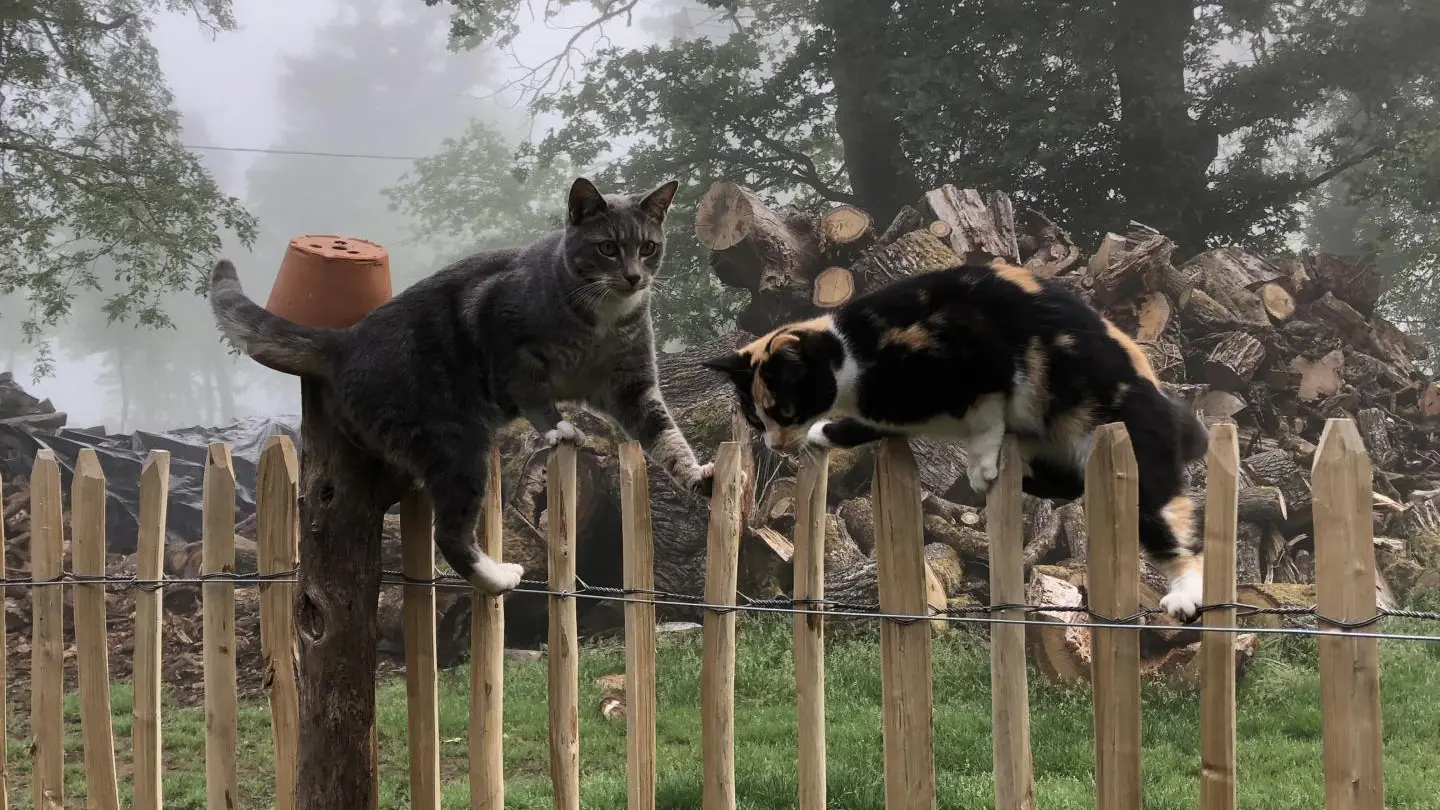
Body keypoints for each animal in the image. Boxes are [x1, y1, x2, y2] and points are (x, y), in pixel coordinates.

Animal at [207, 176, 714, 593]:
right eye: (608, 247)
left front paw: (696, 475)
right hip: (457, 441)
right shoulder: (501, 328)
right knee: (448, 533)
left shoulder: (631, 383)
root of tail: (346, 340)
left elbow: (663, 431)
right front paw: (558, 426)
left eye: (647, 247)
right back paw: (499, 576)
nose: (633, 276)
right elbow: (532, 390)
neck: (603, 318)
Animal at [702, 257, 1209, 616]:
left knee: (1176, 532)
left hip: (1133, 450)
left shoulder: (979, 358)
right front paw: (826, 432)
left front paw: (980, 464)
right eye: (755, 419)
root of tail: (1168, 401)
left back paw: (1184, 595)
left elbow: (986, 413)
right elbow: (873, 423)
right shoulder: (892, 406)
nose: (775, 444)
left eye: (783, 412)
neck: (853, 356)